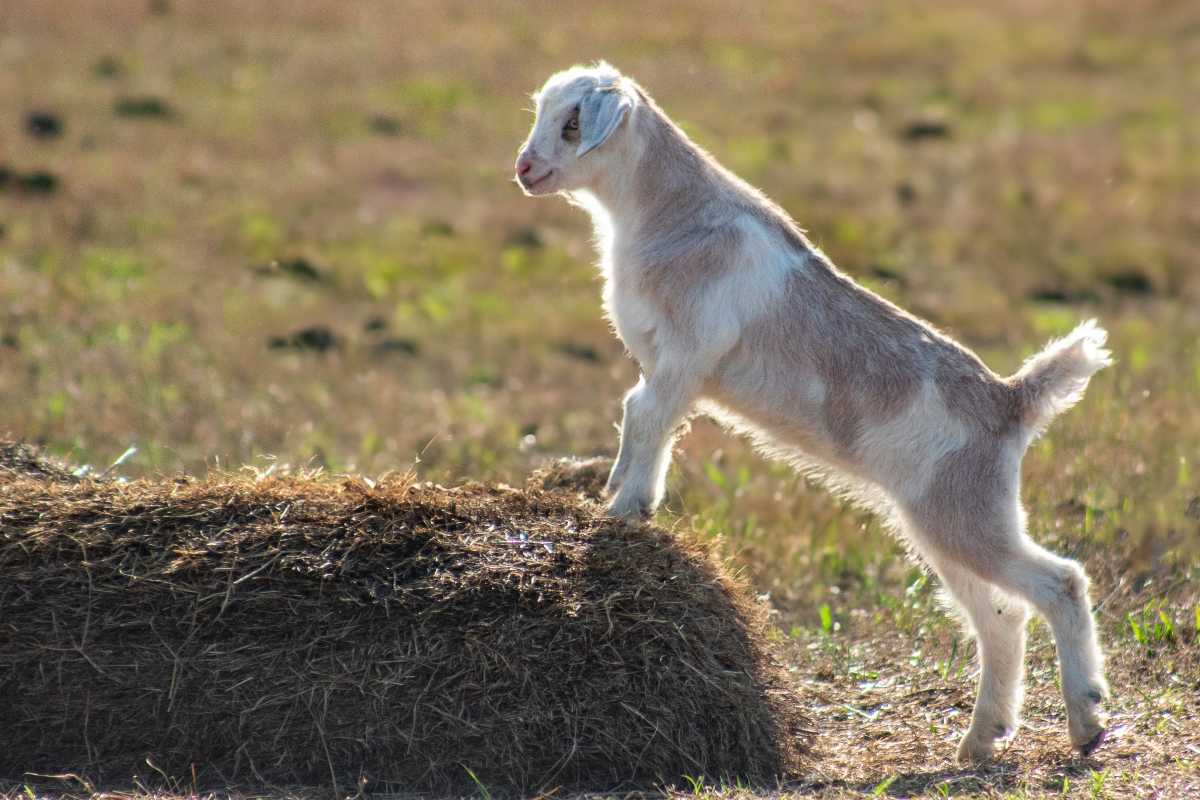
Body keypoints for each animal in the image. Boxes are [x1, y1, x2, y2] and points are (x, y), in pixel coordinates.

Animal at [515, 62, 1110, 762]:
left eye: (573, 123)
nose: (524, 168)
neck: (669, 215)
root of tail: (1011, 401)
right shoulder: (665, 369)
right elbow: (645, 423)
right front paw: (622, 498)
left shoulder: (685, 357)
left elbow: (646, 419)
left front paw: (622, 510)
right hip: (944, 526)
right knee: (1003, 616)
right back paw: (980, 740)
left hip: (966, 515)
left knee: (1061, 583)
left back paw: (1087, 722)